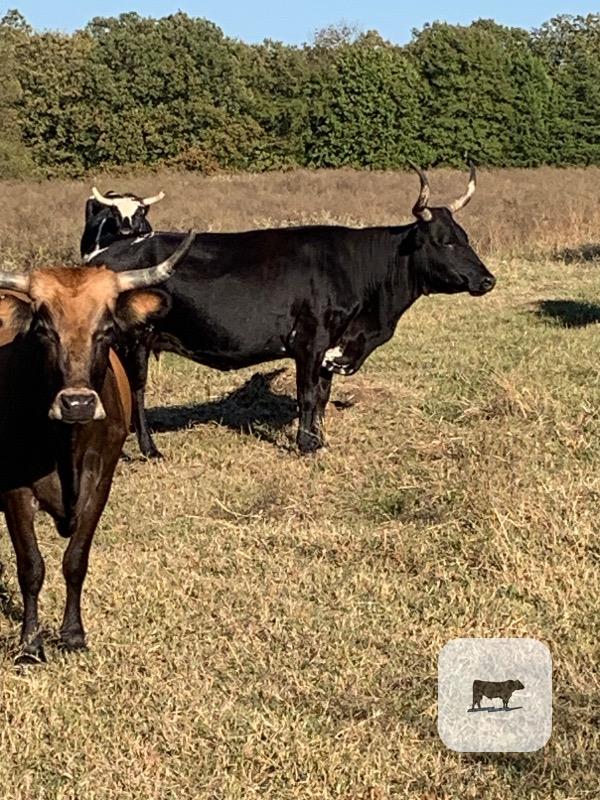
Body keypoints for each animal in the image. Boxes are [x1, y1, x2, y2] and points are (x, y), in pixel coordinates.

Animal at [0, 232, 194, 664]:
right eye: (44, 329)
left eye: (106, 329)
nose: (77, 403)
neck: (65, 448)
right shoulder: (14, 488)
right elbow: (30, 566)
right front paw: (30, 644)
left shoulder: (101, 480)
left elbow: (76, 560)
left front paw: (73, 634)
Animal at [84, 165, 496, 458]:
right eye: (444, 241)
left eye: (465, 237)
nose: (488, 279)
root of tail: (105, 256)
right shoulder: (309, 342)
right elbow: (307, 395)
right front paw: (305, 445)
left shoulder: (330, 349)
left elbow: (323, 396)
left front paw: (321, 439)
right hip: (133, 343)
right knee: (136, 392)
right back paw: (149, 449)